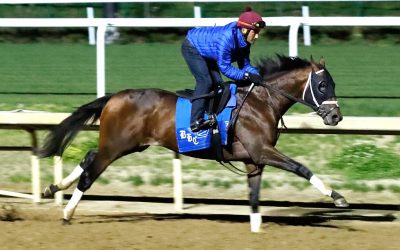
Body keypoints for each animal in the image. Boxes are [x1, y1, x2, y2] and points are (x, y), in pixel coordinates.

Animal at [39, 54, 346, 232]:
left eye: (333, 84)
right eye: (322, 86)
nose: (336, 116)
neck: (261, 102)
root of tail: (113, 97)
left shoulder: (253, 159)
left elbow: (255, 195)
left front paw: (256, 228)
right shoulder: (262, 151)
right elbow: (300, 167)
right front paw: (337, 196)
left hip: (130, 144)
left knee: (89, 156)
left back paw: (53, 187)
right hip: (117, 145)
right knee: (91, 171)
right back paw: (67, 212)